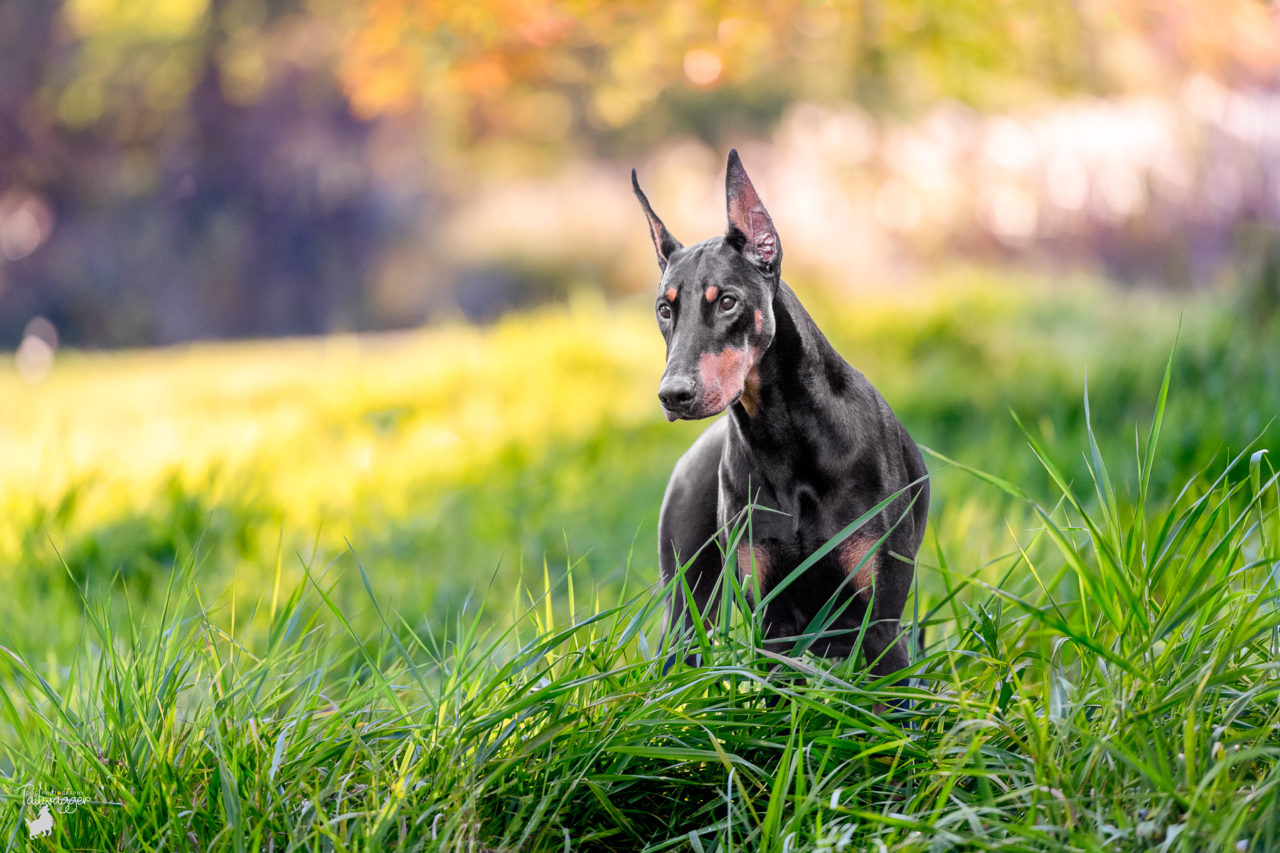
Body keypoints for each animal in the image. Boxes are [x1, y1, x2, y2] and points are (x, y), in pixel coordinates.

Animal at [632, 147, 926, 676]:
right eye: (665, 309)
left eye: (728, 301)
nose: (673, 395)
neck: (783, 435)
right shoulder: (774, 626)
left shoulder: (880, 627)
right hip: (685, 610)